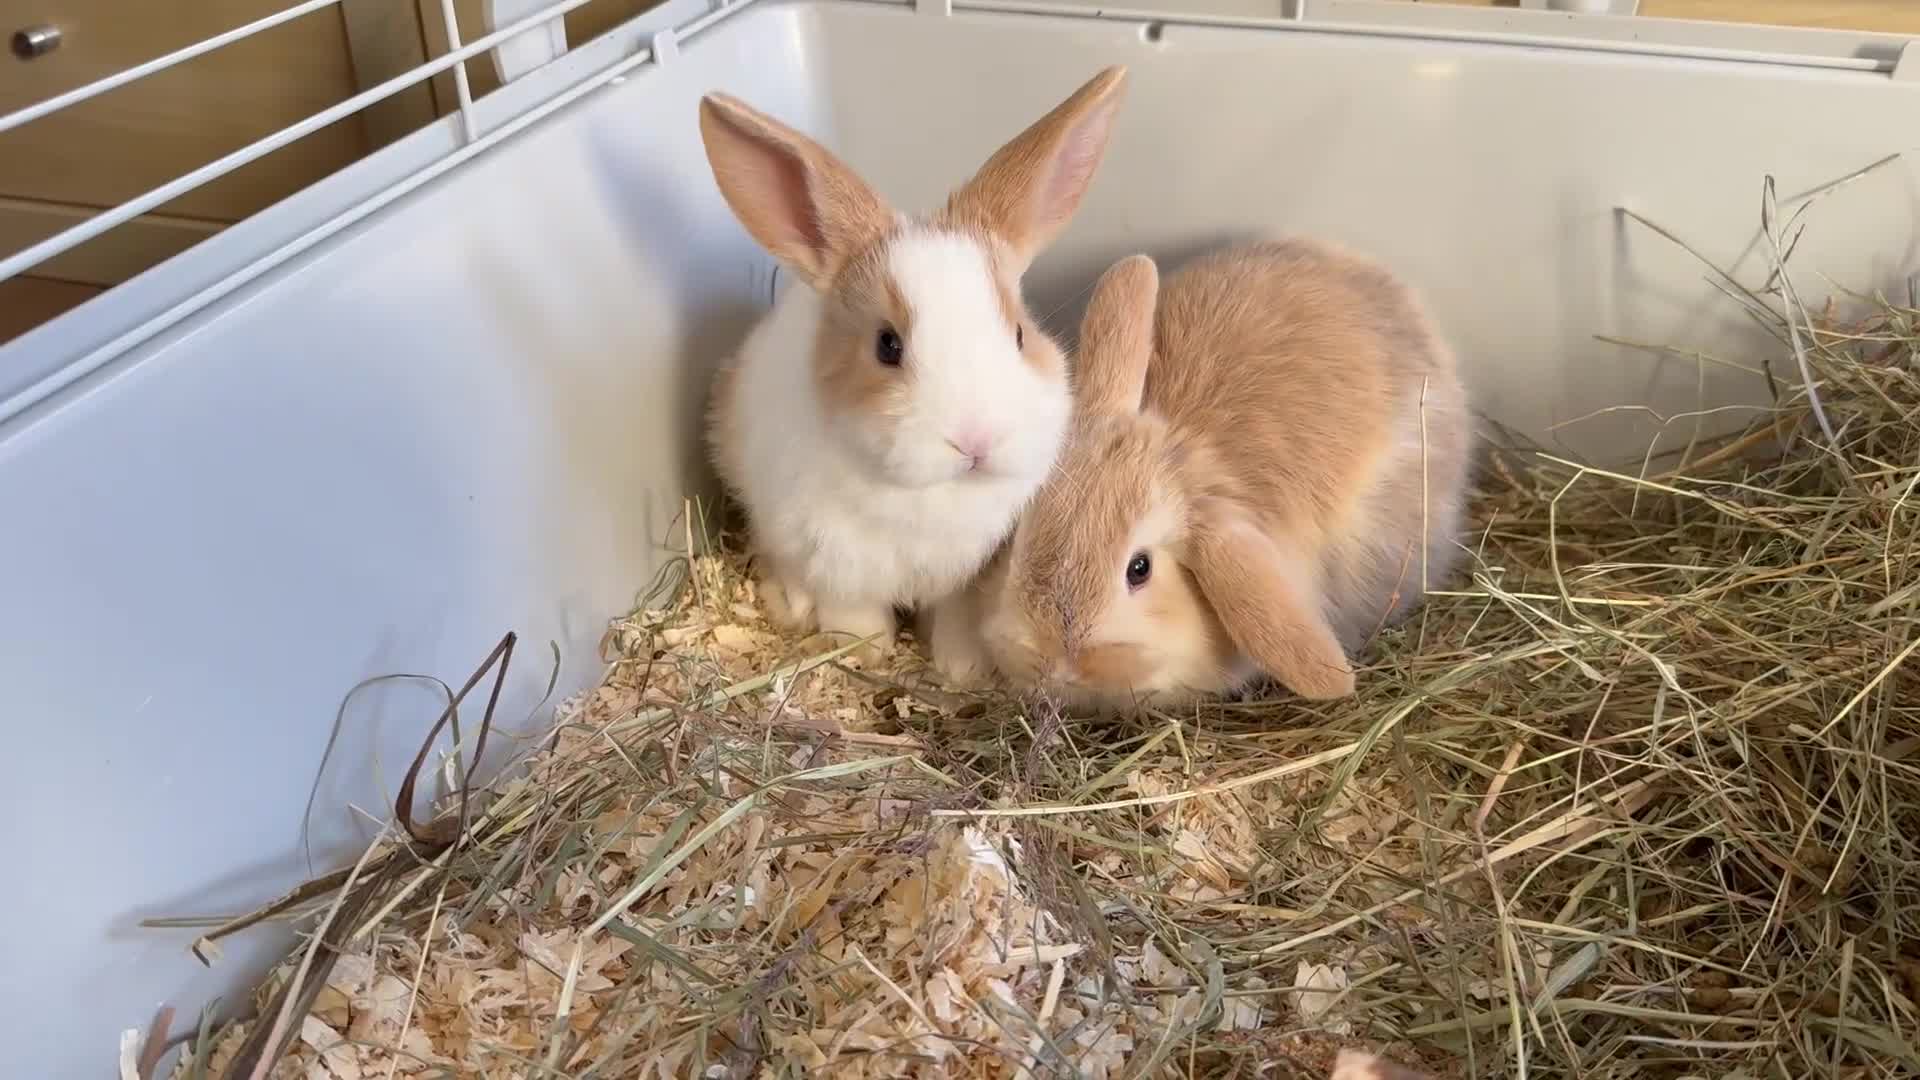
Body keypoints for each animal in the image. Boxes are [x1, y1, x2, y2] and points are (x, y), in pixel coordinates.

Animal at [697, 67, 1129, 678]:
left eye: (1020, 334)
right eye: (887, 346)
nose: (976, 440)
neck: (934, 495)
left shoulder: (969, 577)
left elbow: (955, 617)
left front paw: (962, 668)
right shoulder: (834, 562)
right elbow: (851, 612)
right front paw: (865, 651)